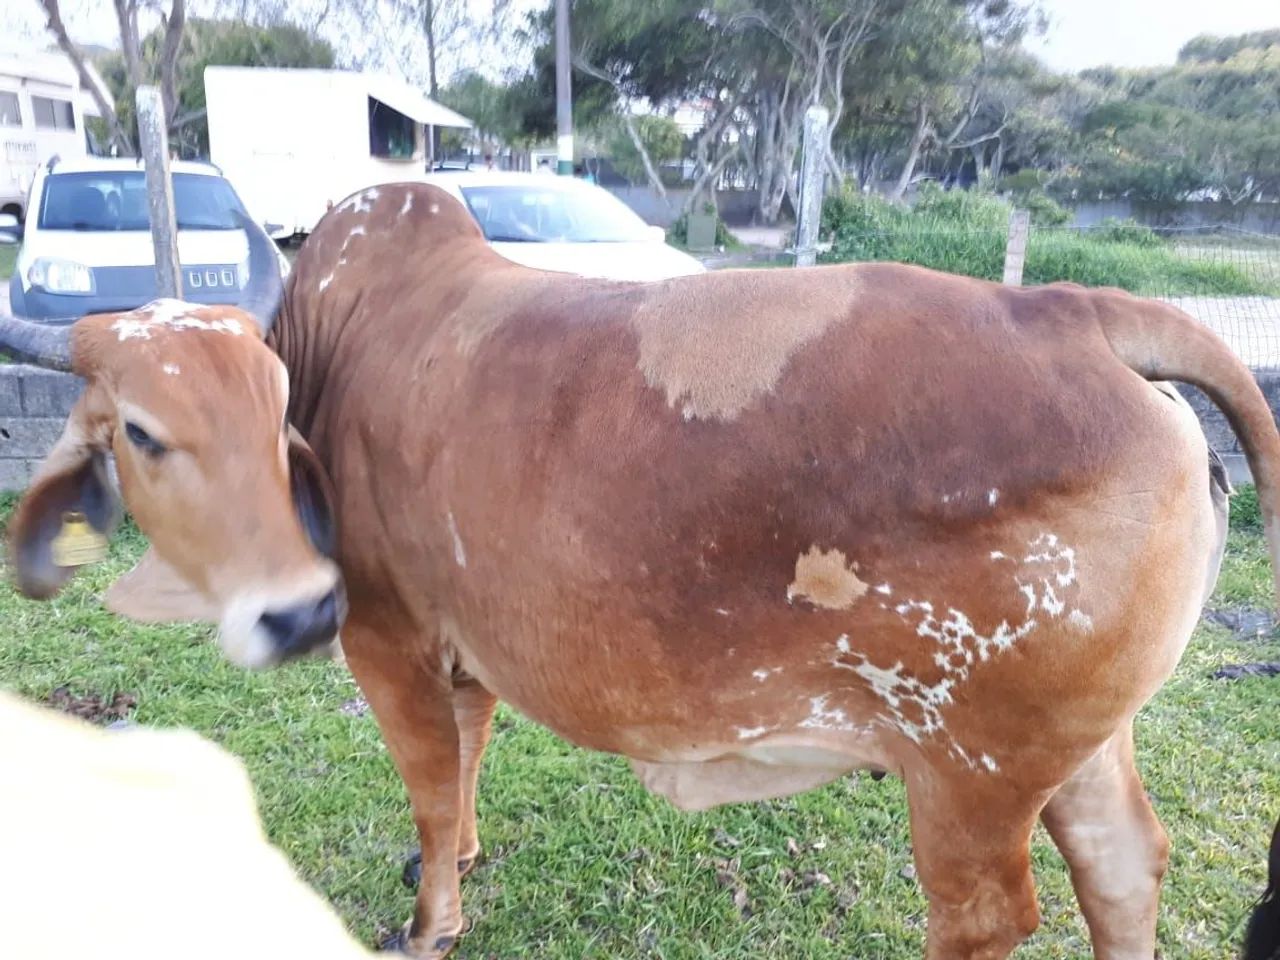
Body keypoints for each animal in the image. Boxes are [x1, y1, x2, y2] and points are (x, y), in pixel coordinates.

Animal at [2, 183, 1278, 960]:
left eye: (268, 420)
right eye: (142, 429)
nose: (292, 611)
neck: (332, 342)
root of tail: (1079, 310)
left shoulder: (387, 638)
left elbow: (428, 781)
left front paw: (430, 916)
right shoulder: (466, 643)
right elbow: (467, 758)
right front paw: (461, 857)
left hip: (966, 771)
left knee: (987, 916)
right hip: (1067, 746)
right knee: (1122, 864)